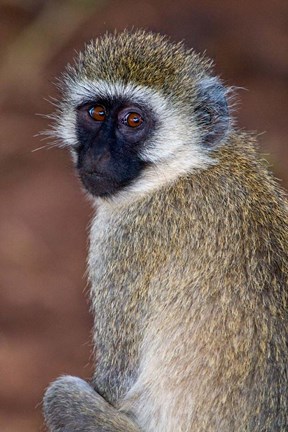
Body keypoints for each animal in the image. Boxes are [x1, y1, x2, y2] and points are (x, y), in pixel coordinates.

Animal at [43, 30, 288, 432]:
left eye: (133, 120)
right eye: (96, 113)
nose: (98, 155)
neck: (183, 168)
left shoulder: (124, 239)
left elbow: (115, 383)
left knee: (60, 395)